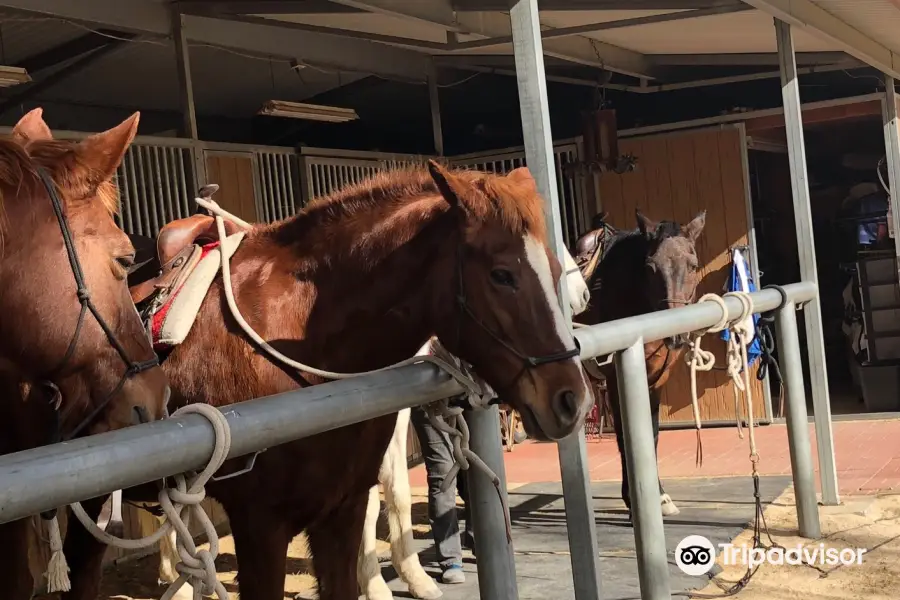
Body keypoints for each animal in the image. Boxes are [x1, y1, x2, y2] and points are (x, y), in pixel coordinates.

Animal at [576, 210, 704, 516]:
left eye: (693, 265)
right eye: (650, 266)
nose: (675, 335)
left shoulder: (656, 379)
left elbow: (651, 434)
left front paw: (660, 497)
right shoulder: (615, 380)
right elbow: (626, 438)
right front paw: (633, 502)